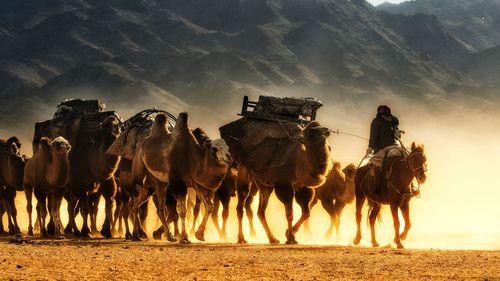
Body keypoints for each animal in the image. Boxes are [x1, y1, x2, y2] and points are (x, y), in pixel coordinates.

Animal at [130, 112, 229, 242]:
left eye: (228, 147)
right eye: (215, 148)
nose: (229, 157)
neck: (193, 158)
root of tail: (142, 144)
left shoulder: (196, 184)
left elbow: (209, 206)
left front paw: (199, 234)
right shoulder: (178, 184)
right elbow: (182, 211)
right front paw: (185, 238)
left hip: (157, 183)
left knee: (154, 206)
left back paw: (169, 236)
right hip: (139, 166)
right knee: (137, 199)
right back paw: (136, 235)